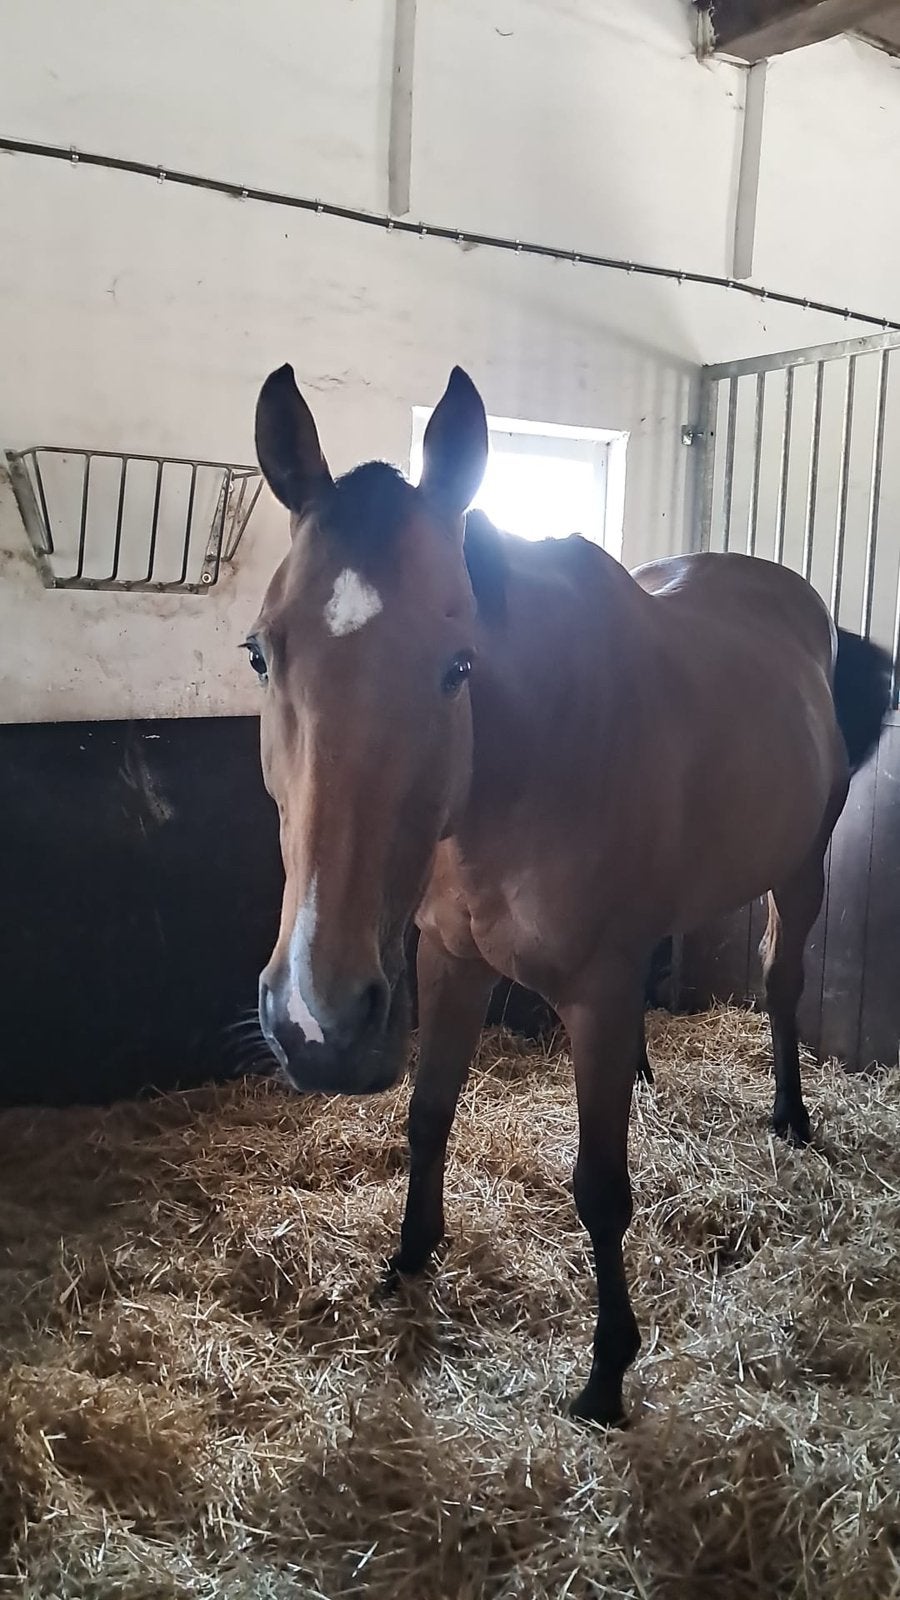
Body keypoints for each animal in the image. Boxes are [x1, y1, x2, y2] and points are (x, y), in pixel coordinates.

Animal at [247, 361, 891, 1426]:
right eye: (261, 653)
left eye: (458, 663)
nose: (318, 1022)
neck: (520, 771)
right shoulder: (446, 958)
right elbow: (430, 1115)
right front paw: (408, 1259)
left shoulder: (594, 985)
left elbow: (600, 1186)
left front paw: (607, 1368)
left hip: (799, 872)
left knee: (782, 981)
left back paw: (791, 1116)